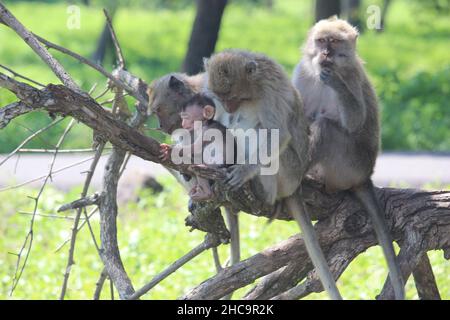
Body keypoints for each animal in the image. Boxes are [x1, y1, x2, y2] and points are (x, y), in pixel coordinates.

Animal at [204, 48, 342, 298]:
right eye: (222, 97)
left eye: (233, 96)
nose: (228, 107)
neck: (253, 89)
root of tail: (297, 184)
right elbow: (216, 126)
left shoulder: (270, 91)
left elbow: (277, 134)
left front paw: (245, 171)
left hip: (289, 173)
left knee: (262, 132)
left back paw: (262, 193)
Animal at [294, 16, 406, 300]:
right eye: (321, 41)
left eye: (334, 42)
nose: (325, 53)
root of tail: (366, 175)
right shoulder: (301, 73)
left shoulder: (352, 76)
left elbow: (355, 121)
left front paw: (335, 81)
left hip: (348, 167)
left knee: (325, 127)